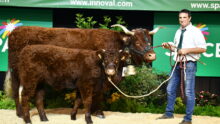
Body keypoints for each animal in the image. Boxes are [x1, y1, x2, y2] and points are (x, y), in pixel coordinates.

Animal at [5, 24, 160, 118]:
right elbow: (98, 95)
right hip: (17, 71)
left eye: (149, 41)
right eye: (137, 42)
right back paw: (20, 113)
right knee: (16, 90)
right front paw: (98, 112)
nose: (152, 55)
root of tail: (15, 31)